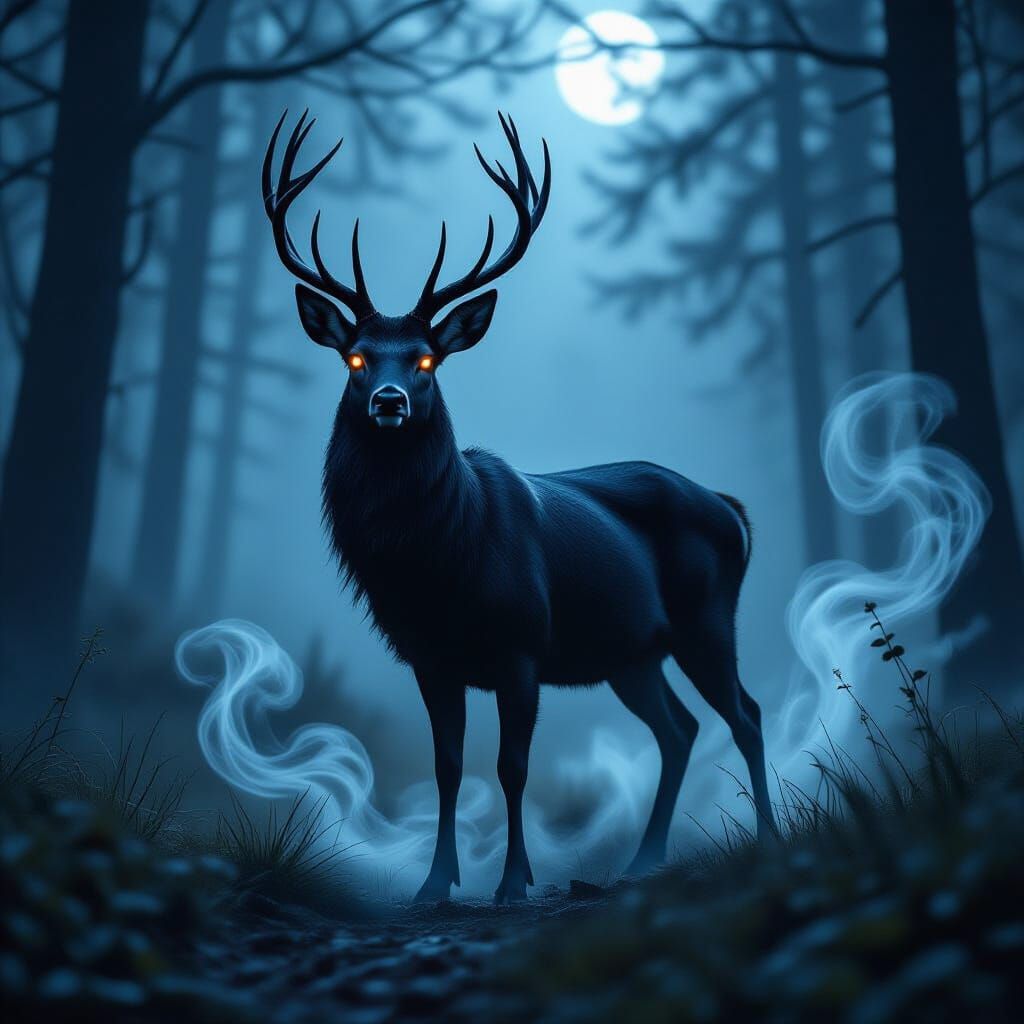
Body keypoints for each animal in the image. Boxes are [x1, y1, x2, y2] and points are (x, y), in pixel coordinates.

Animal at [262, 110, 775, 905]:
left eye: (426, 359)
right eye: (355, 358)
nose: (388, 401)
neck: (437, 566)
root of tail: (731, 510)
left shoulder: (522, 643)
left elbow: (512, 767)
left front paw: (512, 882)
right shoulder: (429, 656)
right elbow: (447, 768)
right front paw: (434, 884)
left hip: (706, 618)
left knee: (744, 715)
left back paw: (769, 841)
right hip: (633, 652)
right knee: (680, 728)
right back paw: (642, 860)